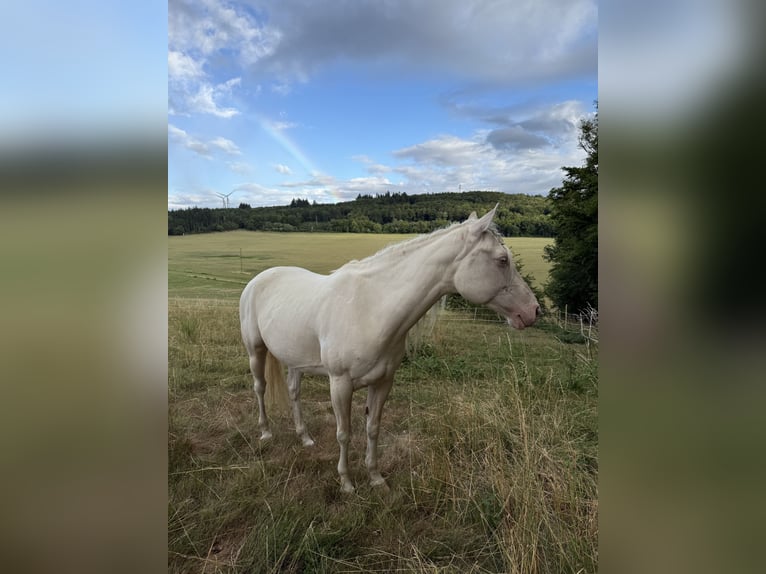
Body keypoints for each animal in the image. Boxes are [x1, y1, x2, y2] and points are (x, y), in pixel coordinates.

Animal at [239, 206, 540, 492]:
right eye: (502, 260)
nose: (533, 311)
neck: (371, 307)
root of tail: (259, 279)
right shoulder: (340, 384)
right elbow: (344, 433)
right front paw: (346, 482)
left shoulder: (383, 382)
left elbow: (373, 428)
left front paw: (375, 479)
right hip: (256, 351)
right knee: (259, 387)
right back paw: (265, 433)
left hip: (296, 360)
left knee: (294, 392)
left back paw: (305, 437)